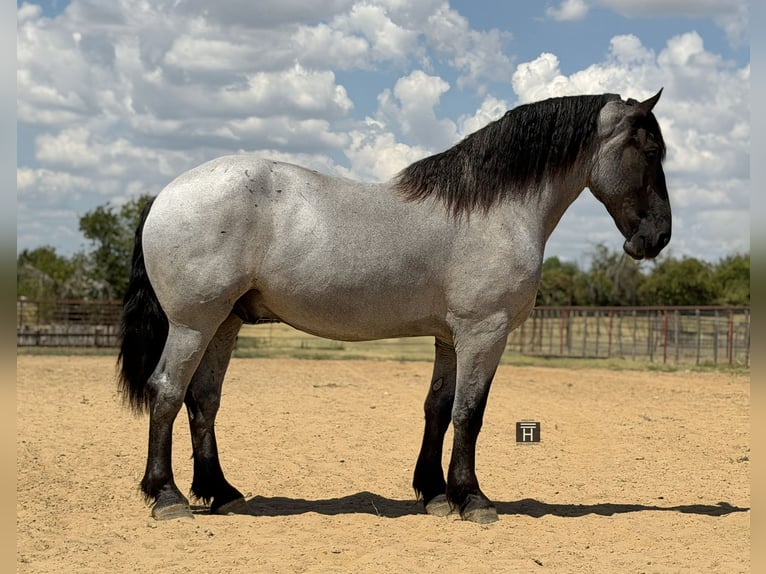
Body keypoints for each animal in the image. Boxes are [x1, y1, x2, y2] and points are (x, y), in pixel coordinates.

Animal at [118, 89, 670, 524]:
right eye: (649, 149)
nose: (658, 237)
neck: (494, 210)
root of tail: (166, 194)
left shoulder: (450, 337)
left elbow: (438, 409)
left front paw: (435, 494)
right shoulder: (485, 333)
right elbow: (470, 412)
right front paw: (473, 499)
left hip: (225, 323)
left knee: (203, 401)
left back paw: (221, 492)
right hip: (194, 323)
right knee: (166, 392)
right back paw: (167, 497)